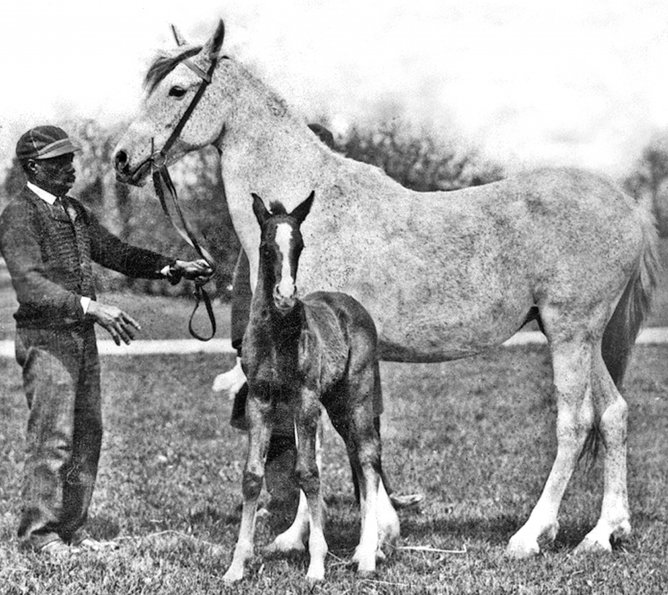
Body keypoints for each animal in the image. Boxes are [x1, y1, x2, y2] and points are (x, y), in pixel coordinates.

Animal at [223, 190, 400, 583]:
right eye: (266, 247)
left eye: (300, 246)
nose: (286, 295)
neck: (277, 334)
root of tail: (351, 305)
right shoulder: (260, 399)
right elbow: (252, 475)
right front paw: (236, 565)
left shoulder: (304, 400)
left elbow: (307, 473)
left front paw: (316, 566)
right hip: (336, 404)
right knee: (356, 454)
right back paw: (362, 551)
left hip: (358, 396)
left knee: (368, 458)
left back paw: (368, 556)